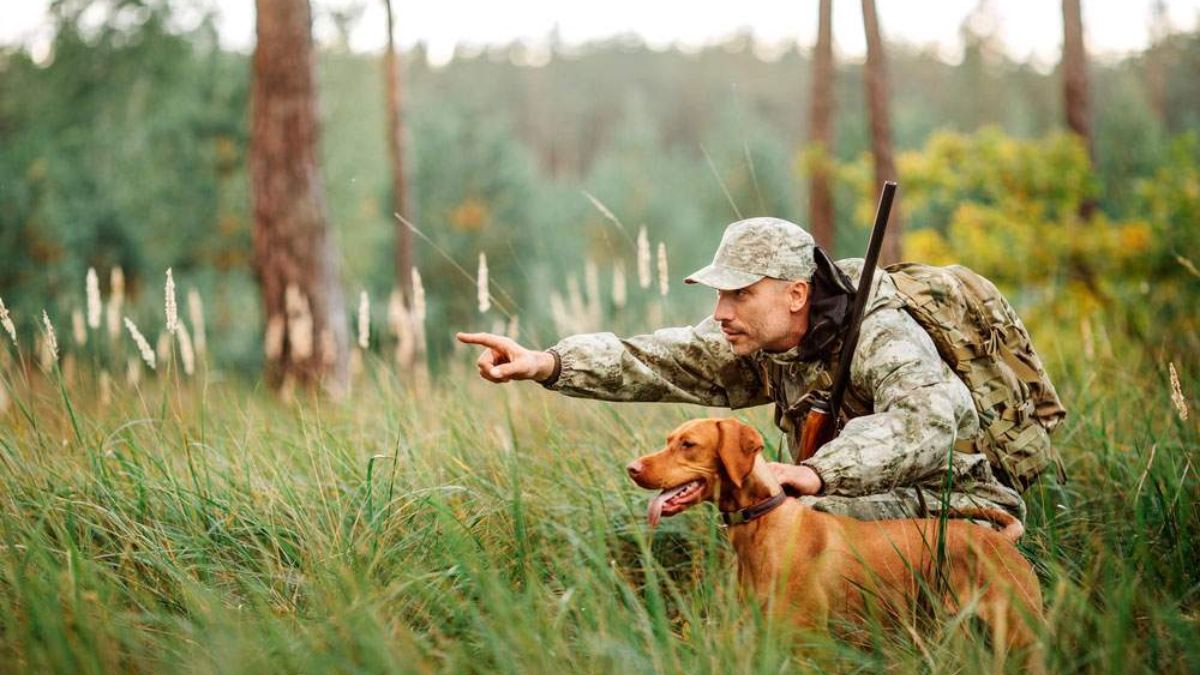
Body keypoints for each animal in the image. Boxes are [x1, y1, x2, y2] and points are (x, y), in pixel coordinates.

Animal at [628, 415, 1041, 653]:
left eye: (688, 444)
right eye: (669, 440)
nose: (632, 468)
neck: (763, 523)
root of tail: (1001, 540)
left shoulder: (805, 642)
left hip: (1019, 631)